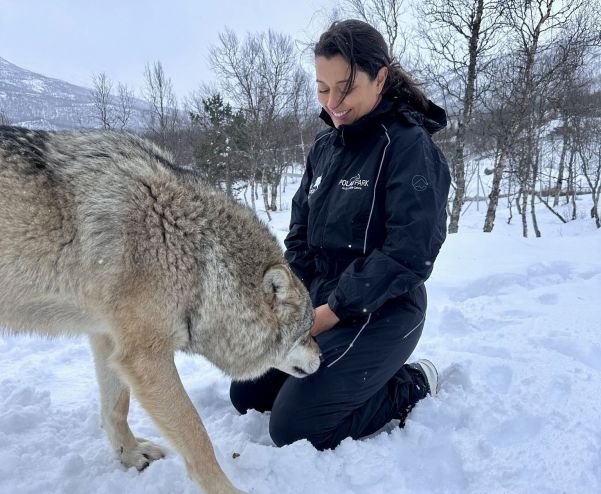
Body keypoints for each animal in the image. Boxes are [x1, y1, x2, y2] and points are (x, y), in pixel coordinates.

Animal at [0, 126, 322, 494]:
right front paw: (226, 490)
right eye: (309, 331)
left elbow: (116, 406)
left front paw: (130, 455)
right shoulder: (146, 356)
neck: (198, 256)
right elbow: (196, 434)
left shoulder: (109, 339)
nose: (323, 356)